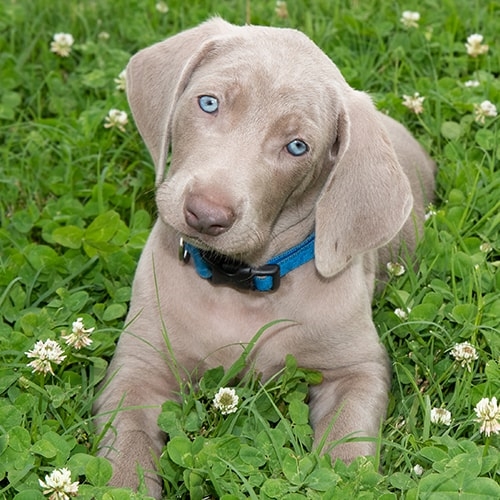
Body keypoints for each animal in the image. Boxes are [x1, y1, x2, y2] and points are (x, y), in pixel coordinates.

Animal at [94, 16, 434, 496]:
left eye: (297, 147)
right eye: (209, 103)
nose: (206, 215)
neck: (239, 282)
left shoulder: (358, 368)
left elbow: (347, 442)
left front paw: (344, 478)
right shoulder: (137, 368)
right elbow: (125, 451)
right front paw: (126, 481)